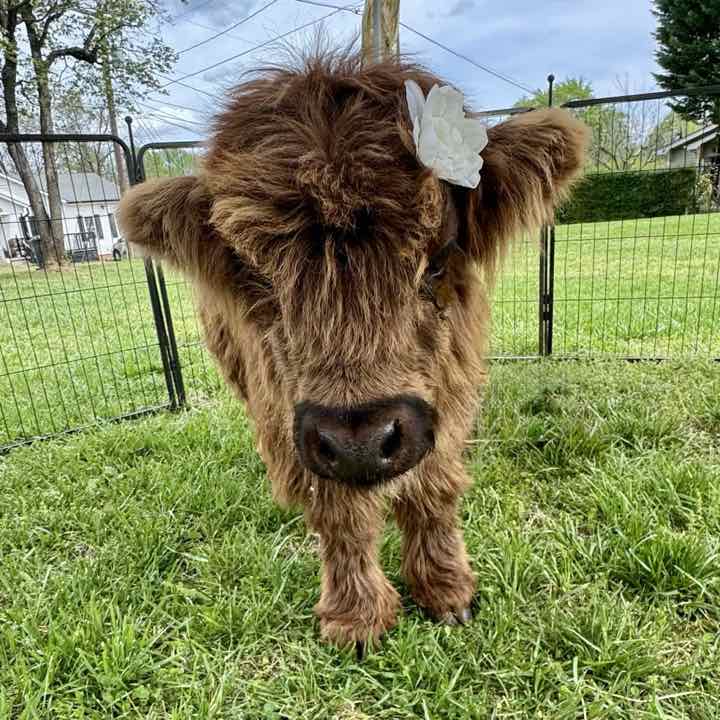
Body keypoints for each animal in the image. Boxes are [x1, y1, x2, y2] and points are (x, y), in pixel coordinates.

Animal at [118, 49, 588, 658]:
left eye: (437, 259)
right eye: (258, 277)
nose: (360, 443)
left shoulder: (448, 400)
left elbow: (433, 491)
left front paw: (447, 591)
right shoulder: (292, 425)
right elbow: (341, 516)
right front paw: (357, 618)